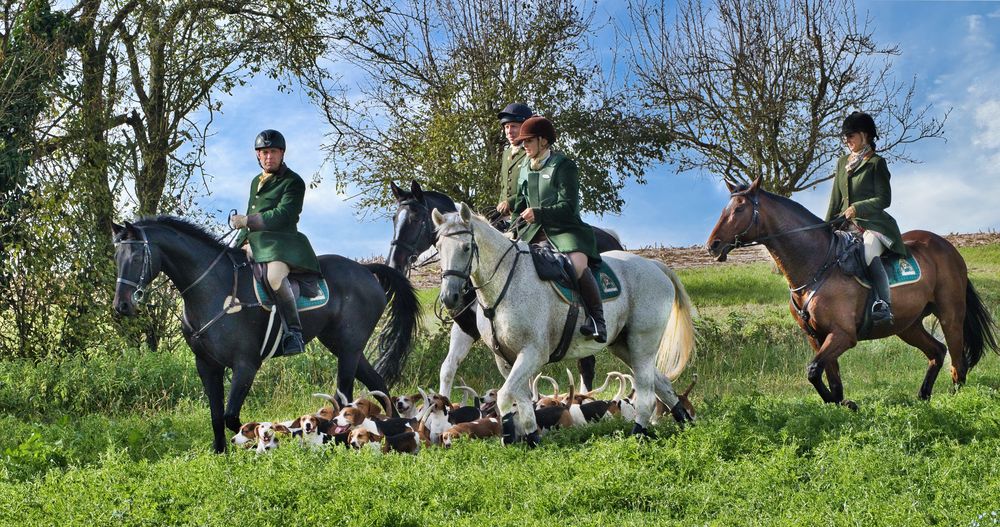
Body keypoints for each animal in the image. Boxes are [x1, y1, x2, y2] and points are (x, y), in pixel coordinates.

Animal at [110, 219, 418, 454]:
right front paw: (220, 452)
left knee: (345, 397)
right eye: (117, 257)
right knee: (378, 384)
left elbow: (232, 418)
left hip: (348, 349)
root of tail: (365, 269)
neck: (214, 290)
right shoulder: (207, 365)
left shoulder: (245, 365)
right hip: (342, 345)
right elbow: (216, 415)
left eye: (136, 257)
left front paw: (262, 440)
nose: (121, 305)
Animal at [386, 180, 620, 392]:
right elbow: (448, 368)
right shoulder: (466, 327)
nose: (395, 264)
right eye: (394, 219)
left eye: (417, 219)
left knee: (586, 365)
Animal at [434, 204, 700, 444]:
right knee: (662, 384)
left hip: (642, 343)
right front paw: (531, 439)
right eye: (438, 248)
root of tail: (653, 265)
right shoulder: (506, 359)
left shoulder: (533, 353)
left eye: (466, 247)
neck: (505, 284)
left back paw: (639, 433)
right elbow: (521, 400)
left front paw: (509, 439)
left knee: (647, 393)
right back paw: (683, 421)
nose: (450, 298)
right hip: (623, 345)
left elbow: (505, 396)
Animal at [708, 178, 996, 408]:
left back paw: (956, 402)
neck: (816, 266)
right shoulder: (817, 337)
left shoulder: (843, 335)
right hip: (907, 325)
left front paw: (846, 404)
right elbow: (829, 378)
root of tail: (947, 246)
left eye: (740, 209)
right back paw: (923, 397)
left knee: (958, 364)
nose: (713, 246)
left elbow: (813, 370)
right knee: (937, 351)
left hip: (950, 315)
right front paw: (842, 404)